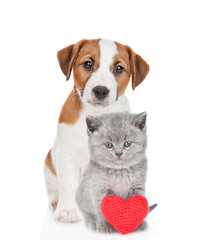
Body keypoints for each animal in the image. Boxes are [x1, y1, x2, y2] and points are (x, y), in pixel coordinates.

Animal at [43, 38, 149, 223]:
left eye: (119, 68)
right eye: (88, 64)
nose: (100, 90)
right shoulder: (67, 155)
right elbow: (68, 183)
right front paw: (68, 210)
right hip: (49, 162)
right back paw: (57, 201)